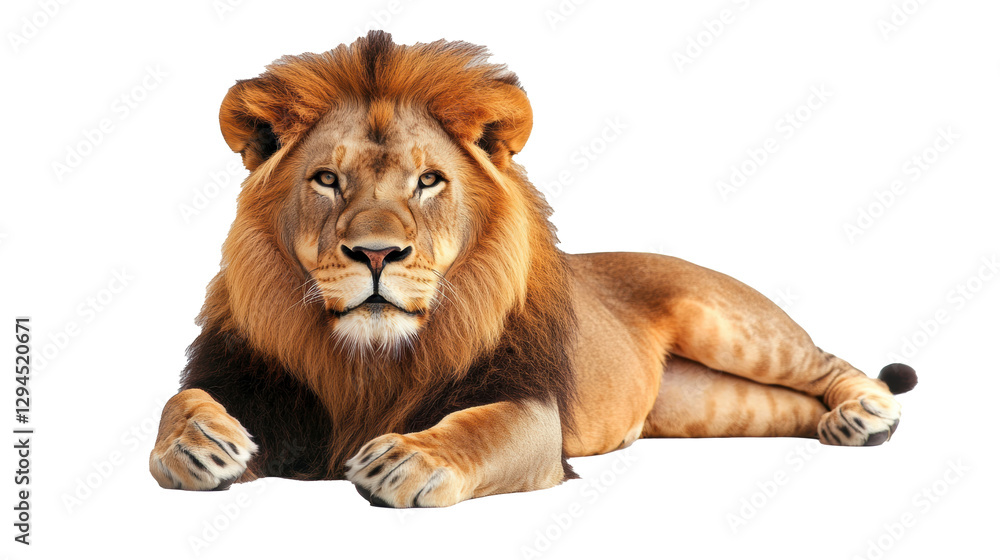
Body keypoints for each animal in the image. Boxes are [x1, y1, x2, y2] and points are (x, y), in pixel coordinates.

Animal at [150, 31, 917, 507]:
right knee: (787, 407)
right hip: (710, 407)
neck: (367, 360)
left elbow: (478, 428)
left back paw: (866, 412)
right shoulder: (250, 382)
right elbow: (179, 400)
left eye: (428, 181)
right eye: (327, 180)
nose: (376, 253)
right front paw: (197, 444)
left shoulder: (531, 409)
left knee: (826, 363)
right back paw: (839, 427)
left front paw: (407, 460)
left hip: (732, 325)